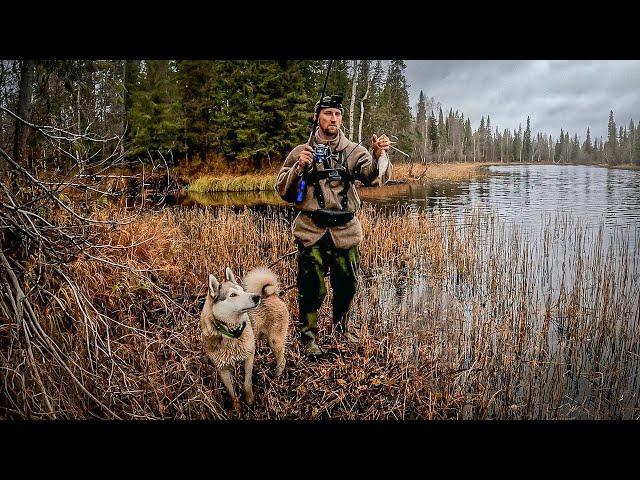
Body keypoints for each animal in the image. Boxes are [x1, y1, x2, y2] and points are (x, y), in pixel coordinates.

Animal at [200, 266, 290, 408]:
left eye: (242, 290)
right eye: (232, 295)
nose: (256, 297)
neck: (231, 334)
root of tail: (270, 294)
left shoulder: (249, 357)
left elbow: (247, 383)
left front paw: (250, 401)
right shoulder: (222, 370)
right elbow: (231, 393)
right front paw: (236, 408)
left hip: (275, 342)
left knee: (282, 362)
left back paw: (276, 378)